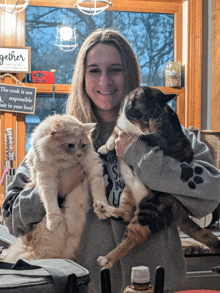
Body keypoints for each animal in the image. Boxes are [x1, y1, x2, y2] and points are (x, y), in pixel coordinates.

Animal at [2, 113, 111, 260]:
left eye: (83, 145)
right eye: (70, 145)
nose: (79, 154)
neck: (65, 163)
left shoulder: (93, 167)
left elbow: (98, 190)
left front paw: (101, 208)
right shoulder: (47, 179)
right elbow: (51, 202)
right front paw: (53, 221)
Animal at [96, 85, 220, 268]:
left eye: (159, 120)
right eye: (146, 117)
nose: (148, 129)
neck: (131, 125)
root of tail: (180, 211)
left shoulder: (163, 139)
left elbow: (134, 137)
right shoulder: (120, 123)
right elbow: (115, 132)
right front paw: (106, 146)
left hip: (151, 210)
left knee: (133, 237)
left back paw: (107, 259)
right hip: (129, 190)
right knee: (124, 213)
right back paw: (104, 208)